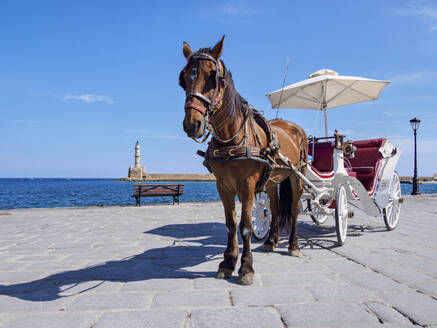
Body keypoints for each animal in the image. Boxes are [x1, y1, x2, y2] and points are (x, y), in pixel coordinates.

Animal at [177, 36, 306, 284]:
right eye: (183, 79)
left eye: (213, 77)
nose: (192, 124)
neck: (231, 138)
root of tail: (294, 127)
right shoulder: (223, 185)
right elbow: (230, 224)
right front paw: (228, 263)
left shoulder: (247, 184)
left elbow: (245, 226)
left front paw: (246, 268)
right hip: (272, 180)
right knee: (275, 209)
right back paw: (271, 241)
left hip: (297, 175)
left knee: (294, 209)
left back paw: (293, 245)